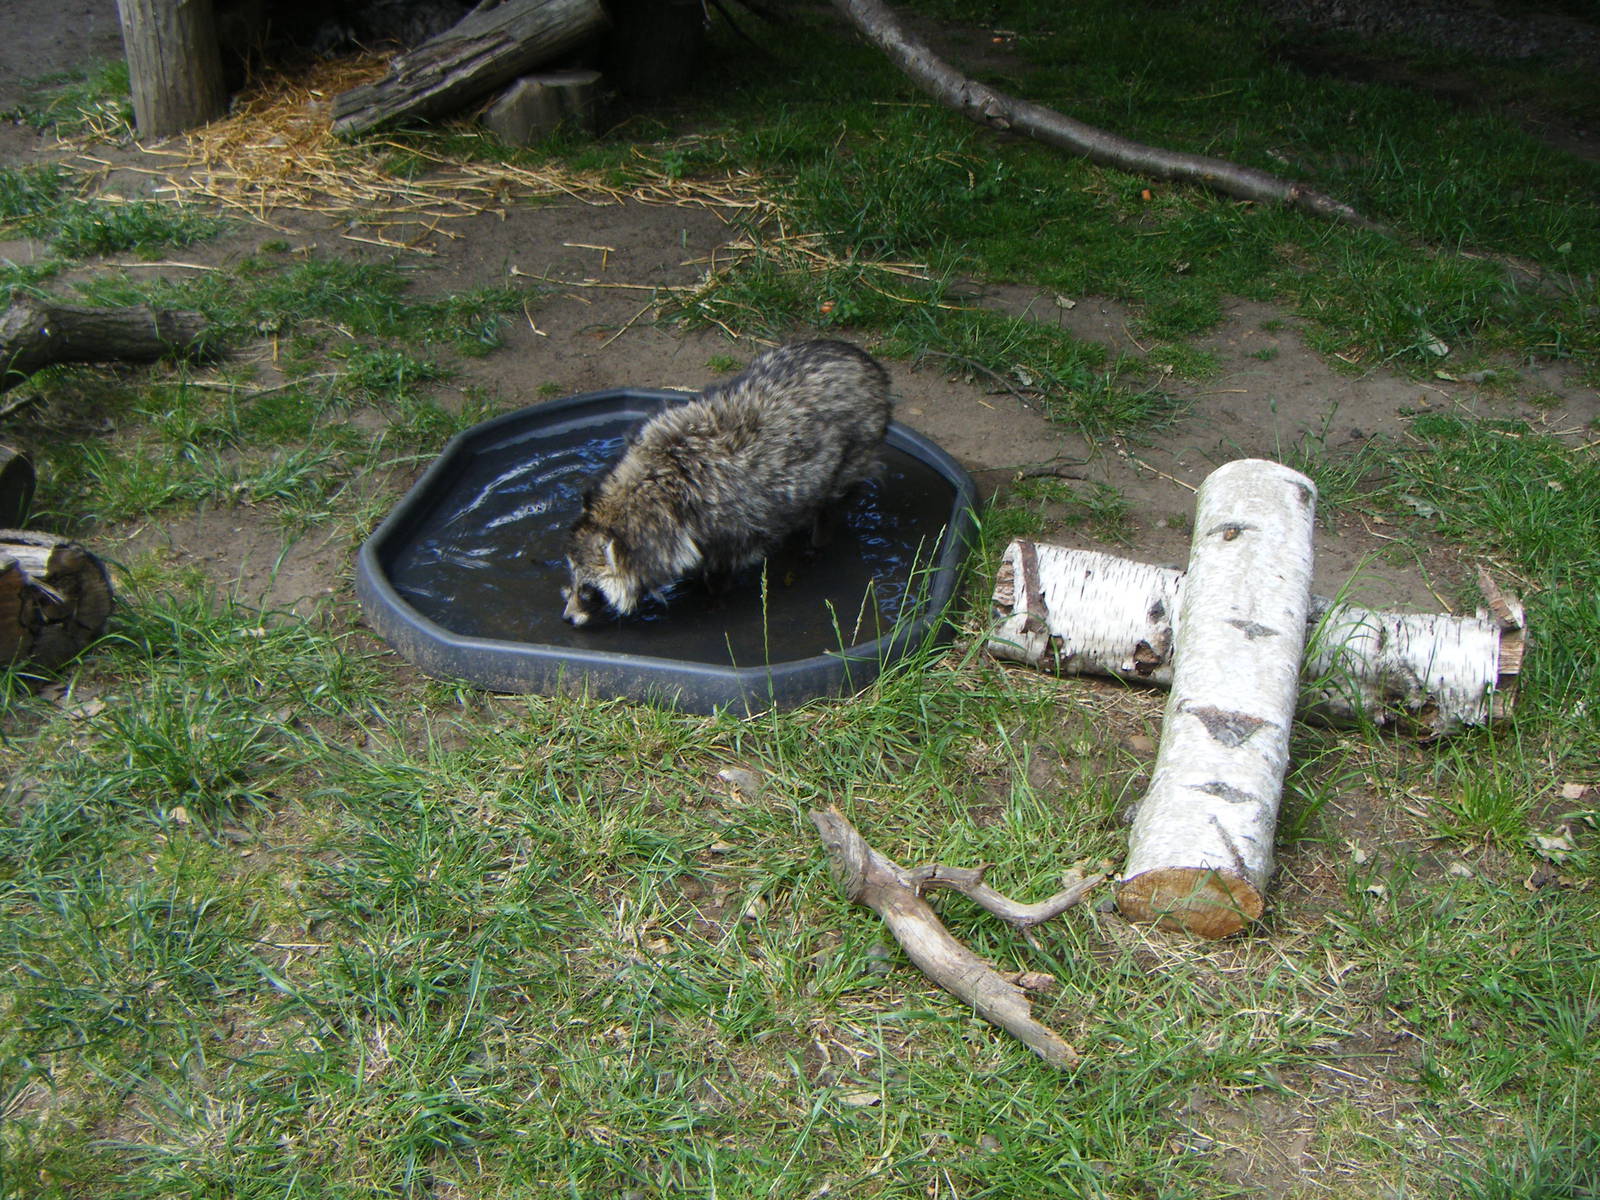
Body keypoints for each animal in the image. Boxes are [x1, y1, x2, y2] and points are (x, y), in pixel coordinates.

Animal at [561, 339, 892, 626]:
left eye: (588, 591)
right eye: (573, 581)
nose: (567, 617)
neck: (653, 488)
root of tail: (863, 359)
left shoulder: (732, 522)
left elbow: (727, 561)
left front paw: (714, 590)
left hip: (857, 446)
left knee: (832, 499)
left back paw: (819, 536)